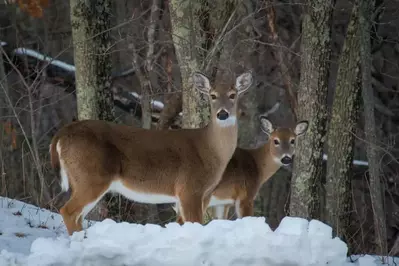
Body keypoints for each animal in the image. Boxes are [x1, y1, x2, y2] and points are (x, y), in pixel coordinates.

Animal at [50, 71, 253, 235]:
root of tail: (61, 134)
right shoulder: (189, 188)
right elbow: (194, 223)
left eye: (233, 95)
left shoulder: (205, 194)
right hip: (91, 176)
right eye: (212, 95)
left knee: (76, 215)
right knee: (68, 211)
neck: (210, 150)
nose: (222, 114)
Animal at [173, 116, 308, 222]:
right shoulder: (245, 195)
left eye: (292, 140)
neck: (257, 165)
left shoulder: (223, 203)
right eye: (276, 141)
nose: (286, 158)